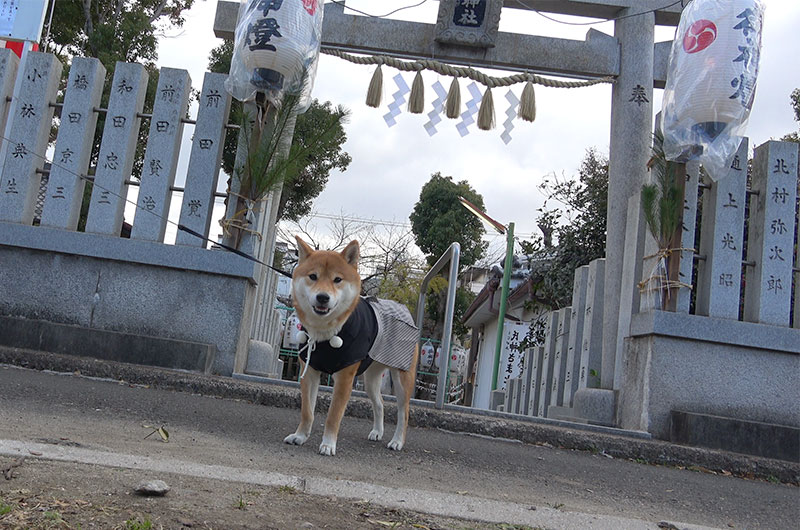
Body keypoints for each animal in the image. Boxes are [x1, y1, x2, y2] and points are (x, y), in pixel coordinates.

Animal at [282, 235, 418, 454]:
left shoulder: (345, 377)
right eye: (313, 276)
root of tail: (403, 309)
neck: (324, 333)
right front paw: (300, 436)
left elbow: (333, 414)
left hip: (402, 377)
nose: (323, 297)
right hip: (370, 378)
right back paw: (377, 432)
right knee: (379, 404)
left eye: (337, 280)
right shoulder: (309, 371)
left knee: (403, 412)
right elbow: (307, 412)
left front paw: (328, 444)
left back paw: (397, 441)